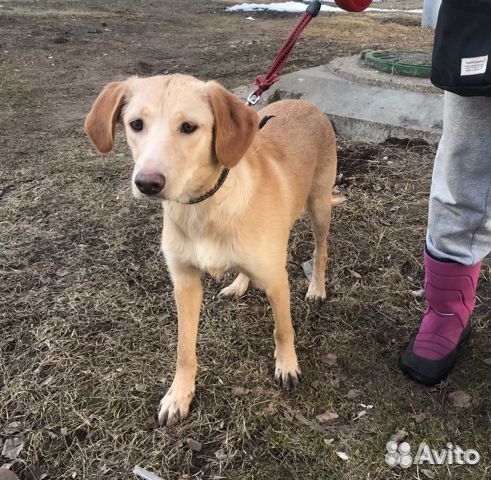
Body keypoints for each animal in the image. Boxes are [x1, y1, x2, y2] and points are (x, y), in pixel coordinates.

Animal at [85, 73, 338, 426]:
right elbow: (184, 350)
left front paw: (287, 365)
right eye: (135, 124)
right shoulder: (185, 283)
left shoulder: (277, 281)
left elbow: (283, 330)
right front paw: (179, 395)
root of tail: (306, 104)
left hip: (319, 205)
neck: (204, 207)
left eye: (189, 127)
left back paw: (316, 287)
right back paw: (239, 284)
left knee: (320, 249)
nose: (147, 183)